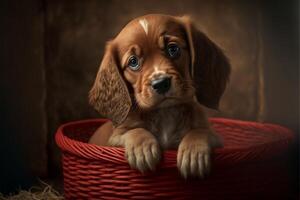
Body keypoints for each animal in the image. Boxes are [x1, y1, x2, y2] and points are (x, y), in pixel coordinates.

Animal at [88, 13, 231, 178]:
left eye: (173, 49)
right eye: (133, 62)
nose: (161, 83)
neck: (165, 113)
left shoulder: (217, 138)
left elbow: (199, 132)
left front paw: (194, 153)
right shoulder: (113, 139)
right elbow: (134, 131)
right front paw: (142, 149)